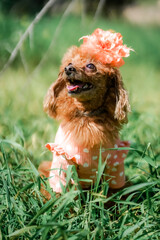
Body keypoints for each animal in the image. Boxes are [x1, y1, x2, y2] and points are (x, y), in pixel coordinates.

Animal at [38, 28, 132, 194]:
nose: (68, 69)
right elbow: (63, 190)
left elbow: (113, 192)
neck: (87, 116)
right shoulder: (62, 159)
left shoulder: (115, 162)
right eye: (69, 63)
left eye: (90, 66)